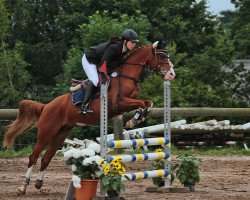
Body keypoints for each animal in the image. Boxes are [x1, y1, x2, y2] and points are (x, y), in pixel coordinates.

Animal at [3, 40, 176, 194]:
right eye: (162, 56)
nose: (171, 74)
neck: (126, 75)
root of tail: (47, 106)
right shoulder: (119, 103)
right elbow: (143, 103)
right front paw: (134, 120)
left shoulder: (128, 103)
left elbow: (147, 103)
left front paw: (135, 119)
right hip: (46, 132)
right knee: (33, 156)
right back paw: (23, 187)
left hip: (61, 133)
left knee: (47, 158)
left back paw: (39, 184)